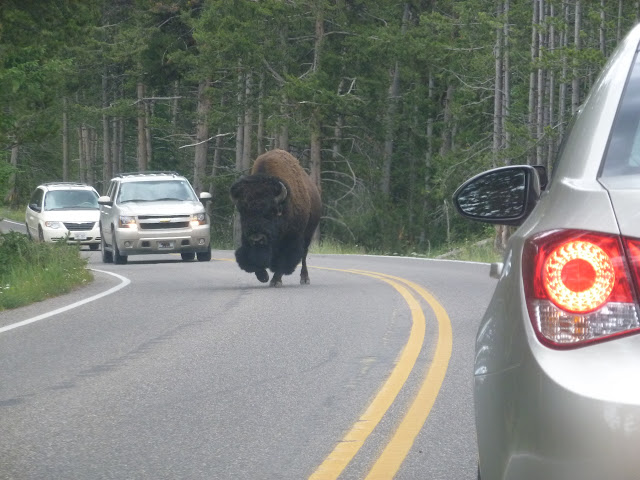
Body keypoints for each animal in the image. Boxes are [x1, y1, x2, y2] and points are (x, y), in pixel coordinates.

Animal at [230, 148, 322, 286]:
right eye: (244, 212)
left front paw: (275, 281)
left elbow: (283, 260)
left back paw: (305, 279)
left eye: (271, 212)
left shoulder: (291, 239)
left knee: (304, 254)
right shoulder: (248, 240)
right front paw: (263, 277)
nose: (257, 238)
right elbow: (253, 257)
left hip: (309, 233)